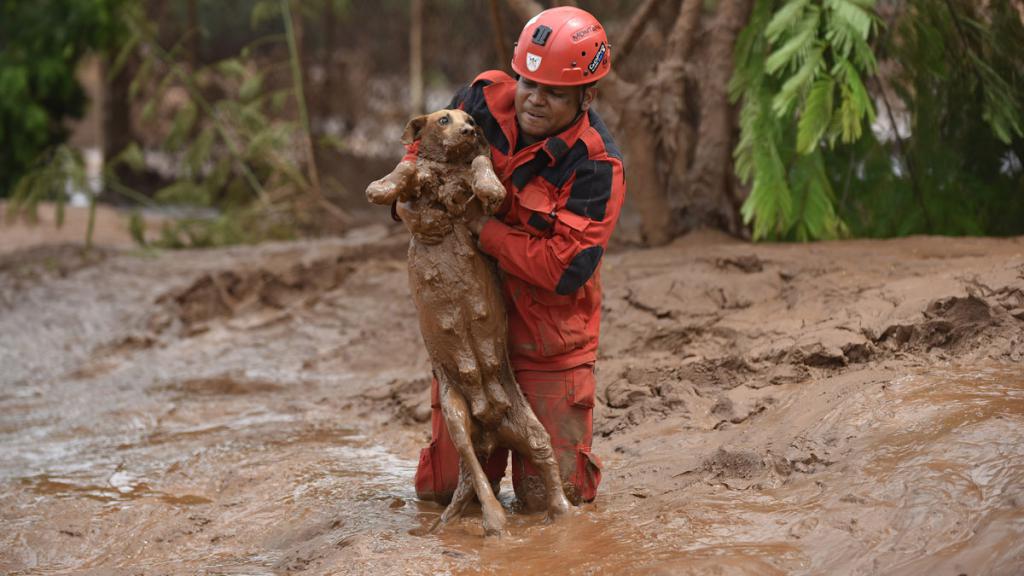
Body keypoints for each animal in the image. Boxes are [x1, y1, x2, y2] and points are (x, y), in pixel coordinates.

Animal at [364, 108, 573, 532]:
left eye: (471, 119)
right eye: (444, 119)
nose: (469, 131)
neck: (447, 168)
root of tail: (490, 428)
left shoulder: (476, 179)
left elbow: (480, 165)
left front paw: (490, 186)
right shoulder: (419, 178)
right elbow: (407, 168)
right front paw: (382, 187)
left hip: (531, 427)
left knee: (540, 463)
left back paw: (552, 515)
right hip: (455, 415)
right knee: (475, 471)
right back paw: (493, 519)